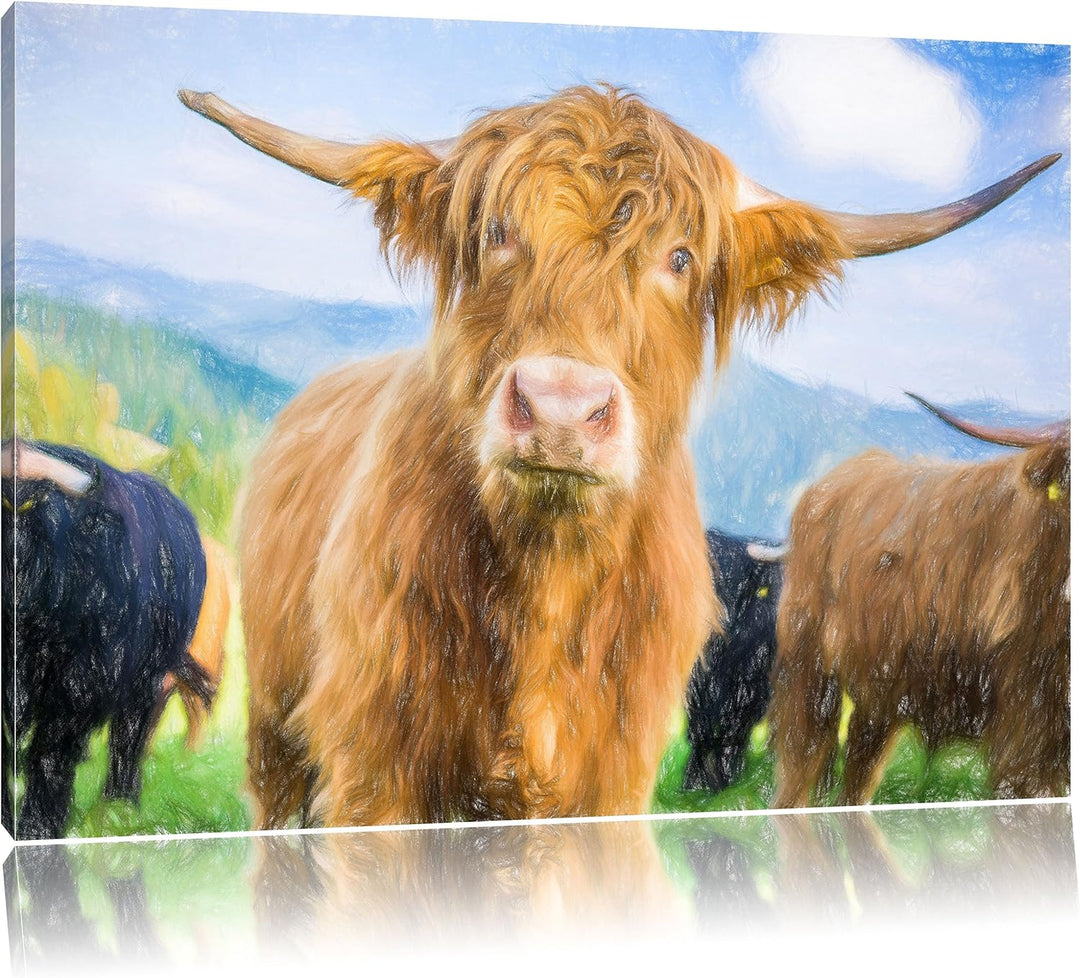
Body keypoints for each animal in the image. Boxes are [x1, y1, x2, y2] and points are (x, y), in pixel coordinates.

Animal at [1, 439, 214, 839]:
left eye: (43, 513)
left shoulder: (80, 686)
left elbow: (50, 754)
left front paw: (40, 826)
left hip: (148, 679)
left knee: (129, 737)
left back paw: (120, 805)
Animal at [683, 531, 785, 792]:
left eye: (742, 583)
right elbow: (700, 735)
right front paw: (694, 786)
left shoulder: (750, 691)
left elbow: (733, 733)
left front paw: (726, 783)